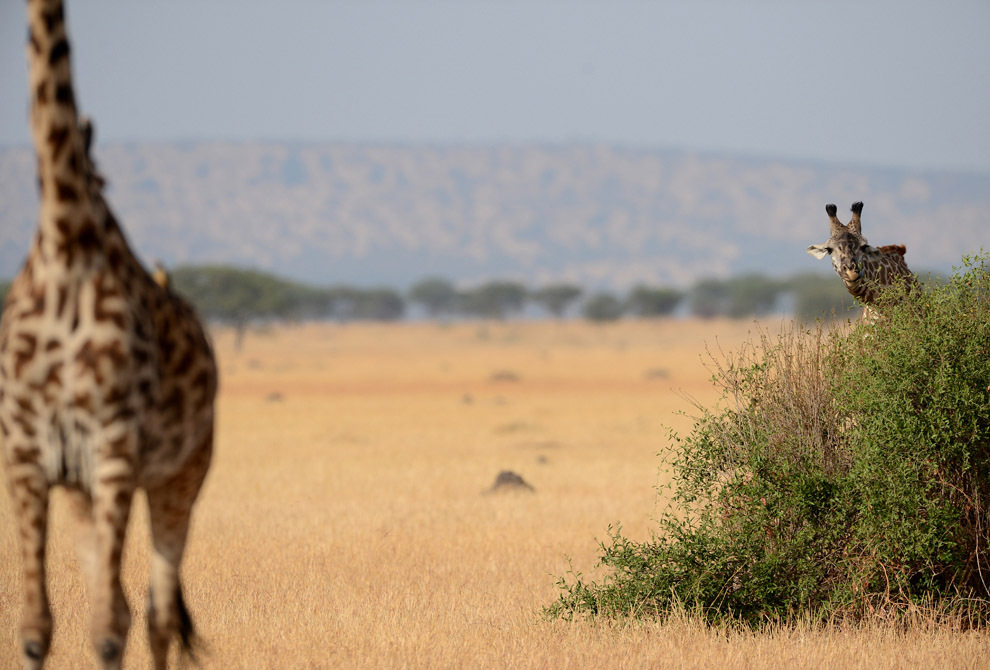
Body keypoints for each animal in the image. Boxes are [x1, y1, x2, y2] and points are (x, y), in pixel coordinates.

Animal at [0, 2, 217, 668]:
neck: (66, 245)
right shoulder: (24, 453)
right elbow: (36, 627)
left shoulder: (116, 444)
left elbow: (109, 625)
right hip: (81, 486)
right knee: (127, 599)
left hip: (179, 475)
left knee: (158, 610)